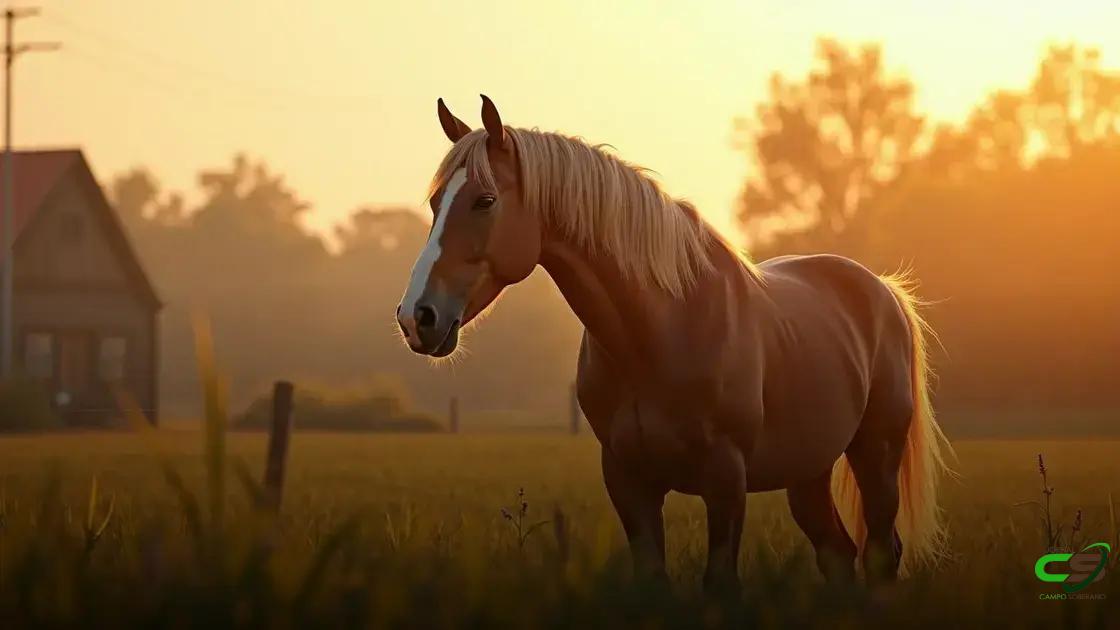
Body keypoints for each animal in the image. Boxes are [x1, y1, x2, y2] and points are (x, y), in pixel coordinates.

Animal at [395, 95, 952, 588]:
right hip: (808, 472)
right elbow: (653, 579)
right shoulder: (628, 481)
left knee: (880, 553)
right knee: (838, 554)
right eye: (436, 202)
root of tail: (882, 289)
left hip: (876, 454)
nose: (416, 317)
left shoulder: (725, 480)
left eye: (485, 200)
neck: (659, 336)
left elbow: (720, 583)